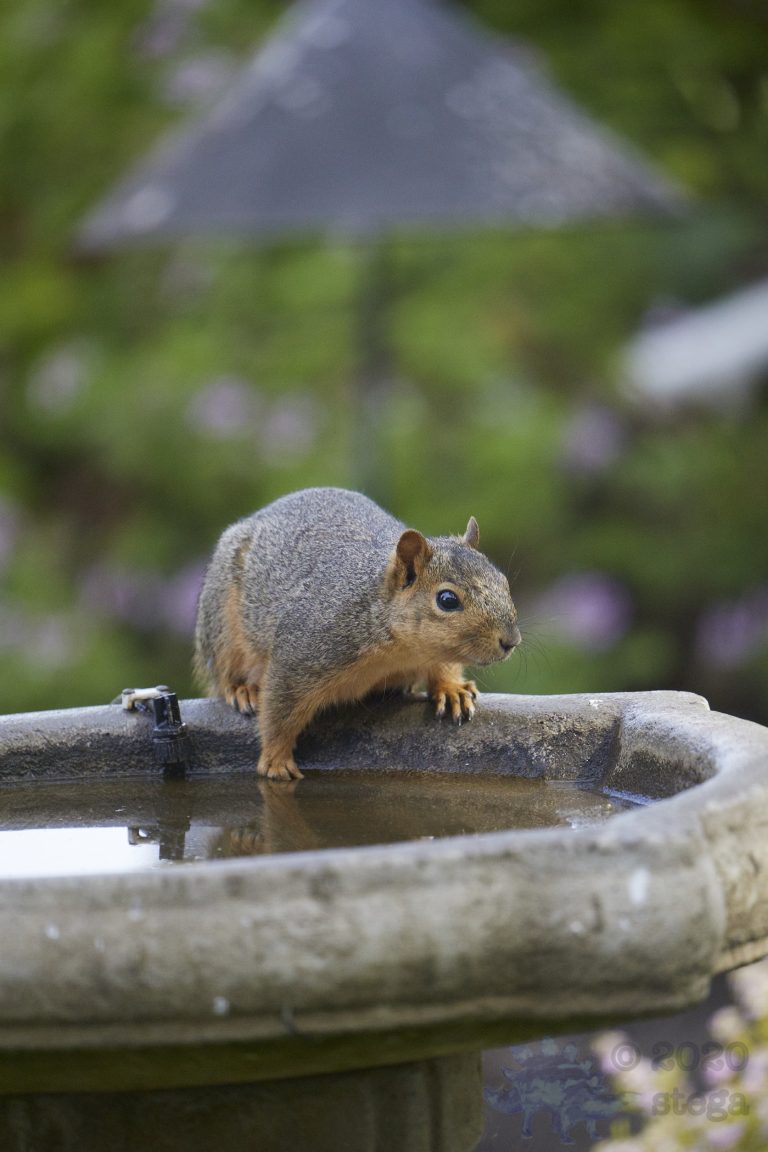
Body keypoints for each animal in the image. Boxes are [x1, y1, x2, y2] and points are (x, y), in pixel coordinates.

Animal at [194, 487, 521, 780]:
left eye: (503, 581)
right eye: (447, 600)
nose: (511, 641)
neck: (400, 651)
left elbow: (444, 667)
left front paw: (452, 690)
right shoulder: (300, 654)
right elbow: (279, 710)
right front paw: (275, 759)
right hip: (221, 624)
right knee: (224, 671)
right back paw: (242, 689)